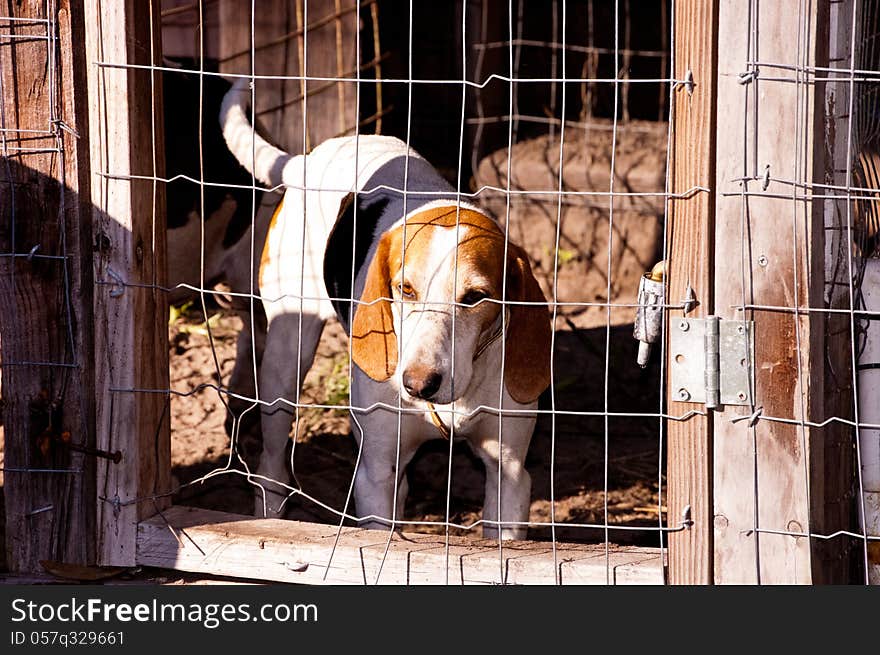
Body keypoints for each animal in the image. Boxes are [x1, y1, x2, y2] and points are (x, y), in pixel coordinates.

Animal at [218, 78, 552, 540]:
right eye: (405, 289)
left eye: (475, 297)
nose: (417, 384)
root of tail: (307, 160)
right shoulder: (375, 473)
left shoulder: (510, 475)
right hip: (287, 357)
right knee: (272, 459)